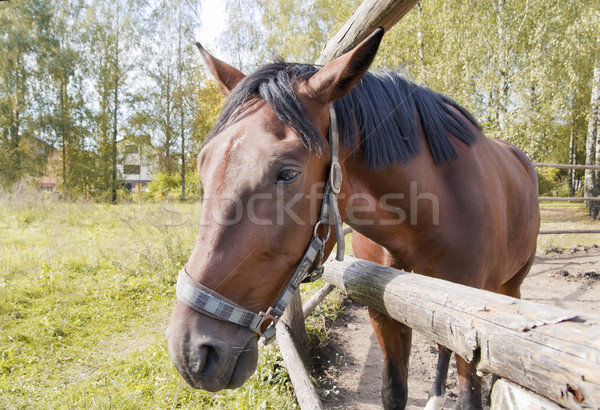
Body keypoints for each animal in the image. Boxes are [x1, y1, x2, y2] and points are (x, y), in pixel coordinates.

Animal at [166, 29, 540, 410]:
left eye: (287, 173)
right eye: (202, 163)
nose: (190, 352)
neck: (434, 212)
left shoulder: (470, 324)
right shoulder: (385, 310)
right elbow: (394, 391)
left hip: (510, 286)